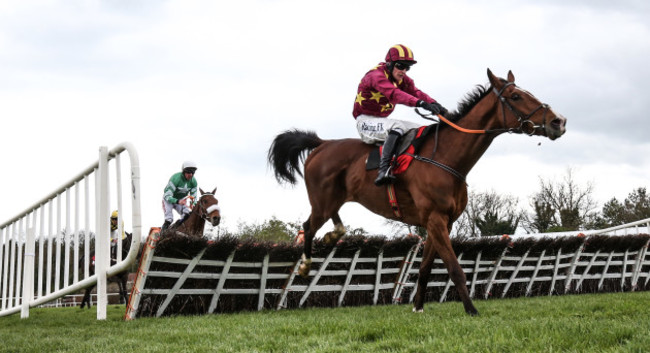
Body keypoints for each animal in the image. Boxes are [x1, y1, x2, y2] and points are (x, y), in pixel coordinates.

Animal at [266, 69, 564, 314]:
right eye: (516, 96)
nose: (558, 121)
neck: (445, 158)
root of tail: (321, 144)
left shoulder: (442, 222)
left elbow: (425, 268)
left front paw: (418, 307)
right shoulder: (435, 219)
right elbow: (454, 268)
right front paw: (472, 310)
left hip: (333, 200)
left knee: (333, 224)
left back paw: (332, 235)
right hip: (322, 202)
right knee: (308, 226)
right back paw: (305, 265)